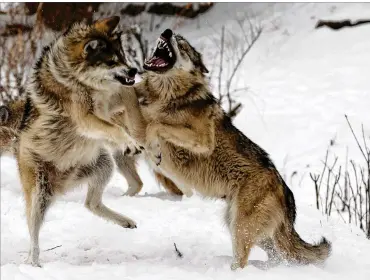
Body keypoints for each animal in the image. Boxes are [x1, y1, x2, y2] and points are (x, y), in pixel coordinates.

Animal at [14, 15, 150, 266]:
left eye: (123, 55)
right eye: (111, 61)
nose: (134, 69)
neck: (76, 79)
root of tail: (62, 186)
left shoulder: (112, 100)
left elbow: (129, 98)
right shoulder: (86, 119)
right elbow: (115, 128)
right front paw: (129, 142)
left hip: (104, 164)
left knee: (90, 204)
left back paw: (125, 220)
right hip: (39, 194)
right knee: (33, 237)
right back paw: (34, 264)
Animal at [133, 29, 332, 270]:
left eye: (181, 45)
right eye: (175, 37)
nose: (167, 31)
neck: (165, 95)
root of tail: (285, 191)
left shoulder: (202, 139)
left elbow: (156, 125)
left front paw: (155, 149)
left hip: (240, 228)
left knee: (244, 260)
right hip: (250, 231)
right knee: (277, 257)